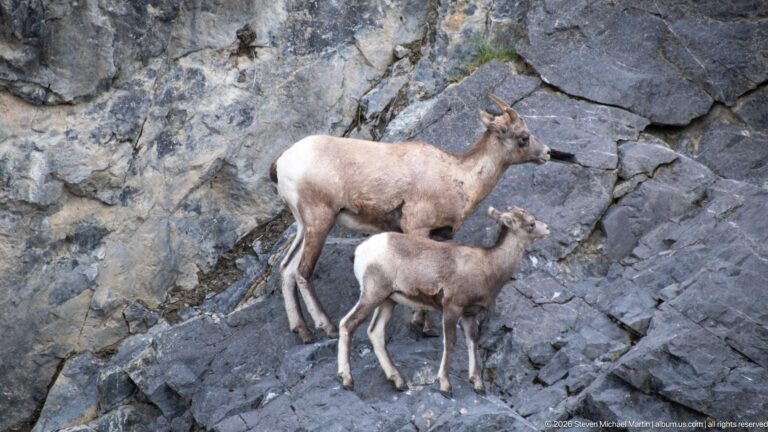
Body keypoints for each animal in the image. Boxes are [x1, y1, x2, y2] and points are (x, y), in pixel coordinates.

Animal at [271, 94, 551, 342]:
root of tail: (282, 162)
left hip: (303, 226)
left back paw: (302, 331)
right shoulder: (416, 228)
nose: (547, 153)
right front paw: (423, 327)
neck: (459, 176)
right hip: (320, 220)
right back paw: (326, 327)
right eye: (524, 137)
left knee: (286, 268)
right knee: (302, 271)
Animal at [337, 206, 550, 397]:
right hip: (373, 294)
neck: (489, 266)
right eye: (531, 223)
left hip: (388, 301)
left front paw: (478, 385)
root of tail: (360, 251)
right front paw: (446, 387)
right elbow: (451, 343)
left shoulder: (469, 314)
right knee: (348, 324)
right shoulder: (451, 308)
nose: (547, 228)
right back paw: (347, 381)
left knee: (375, 332)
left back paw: (399, 382)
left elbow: (473, 342)